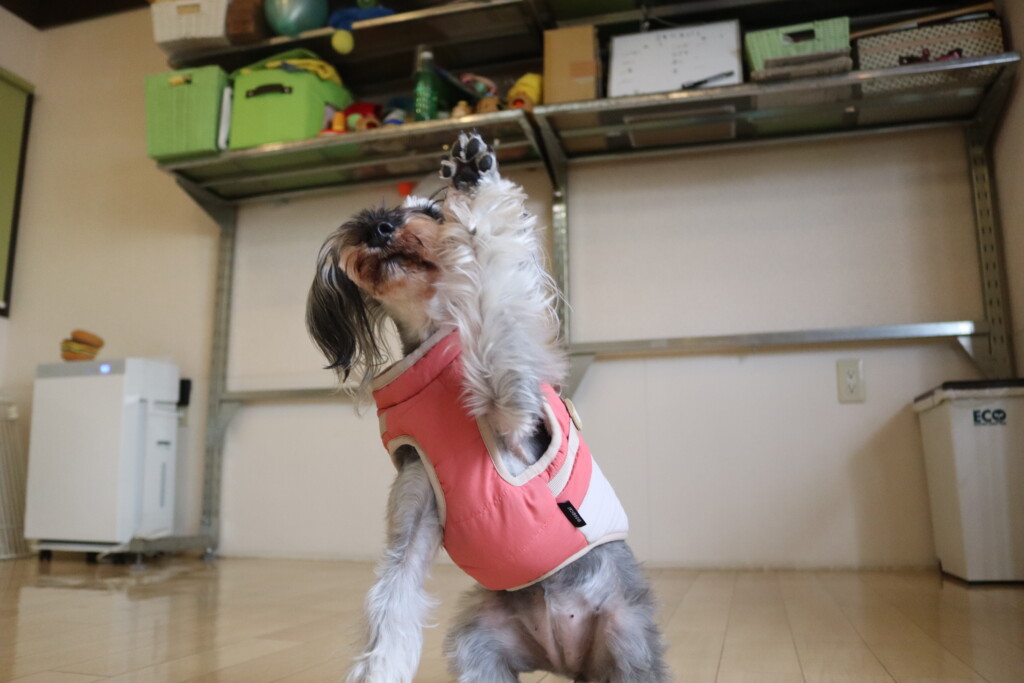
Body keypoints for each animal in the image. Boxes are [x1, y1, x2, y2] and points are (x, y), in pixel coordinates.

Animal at [307, 132, 668, 683]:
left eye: (433, 212)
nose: (376, 226)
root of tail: (565, 662)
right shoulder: (414, 513)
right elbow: (391, 607)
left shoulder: (513, 414)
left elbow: (491, 299)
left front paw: (476, 183)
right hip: (480, 646)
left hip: (627, 641)